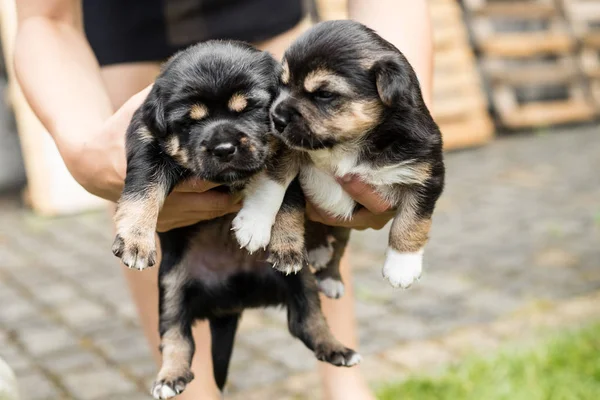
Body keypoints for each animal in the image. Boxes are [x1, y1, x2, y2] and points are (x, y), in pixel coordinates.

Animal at [110, 39, 358, 396]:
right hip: (171, 288)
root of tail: (231, 304)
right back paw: (170, 377)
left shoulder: (289, 158)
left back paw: (336, 348)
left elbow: (286, 201)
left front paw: (285, 244)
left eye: (249, 109)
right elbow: (142, 191)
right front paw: (135, 240)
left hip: (301, 280)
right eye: (189, 122)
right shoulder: (146, 145)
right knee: (177, 337)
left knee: (306, 320)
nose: (224, 148)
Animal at [233, 20, 446, 296]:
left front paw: (402, 266)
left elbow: (412, 221)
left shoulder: (424, 175)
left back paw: (330, 274)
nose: (276, 119)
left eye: (324, 94)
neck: (344, 145)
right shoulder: (286, 152)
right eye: (282, 84)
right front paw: (254, 224)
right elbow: (271, 190)